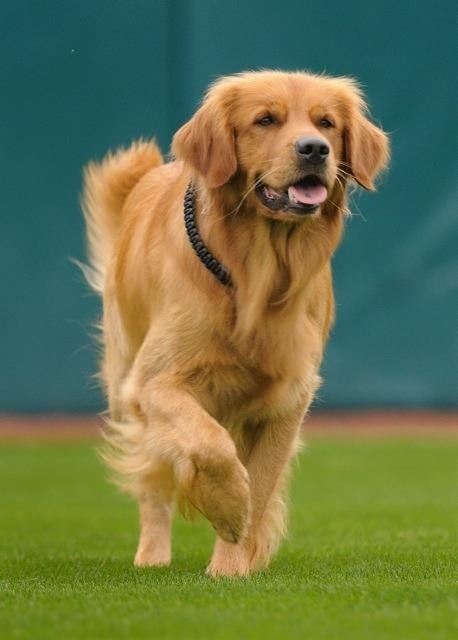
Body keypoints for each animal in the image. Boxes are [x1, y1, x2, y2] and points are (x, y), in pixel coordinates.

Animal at [83, 69, 390, 576]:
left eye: (326, 123)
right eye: (265, 120)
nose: (314, 149)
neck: (255, 275)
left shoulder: (289, 396)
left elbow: (260, 484)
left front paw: (231, 565)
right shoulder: (154, 382)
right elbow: (211, 445)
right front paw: (227, 507)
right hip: (131, 385)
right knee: (154, 487)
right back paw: (152, 557)